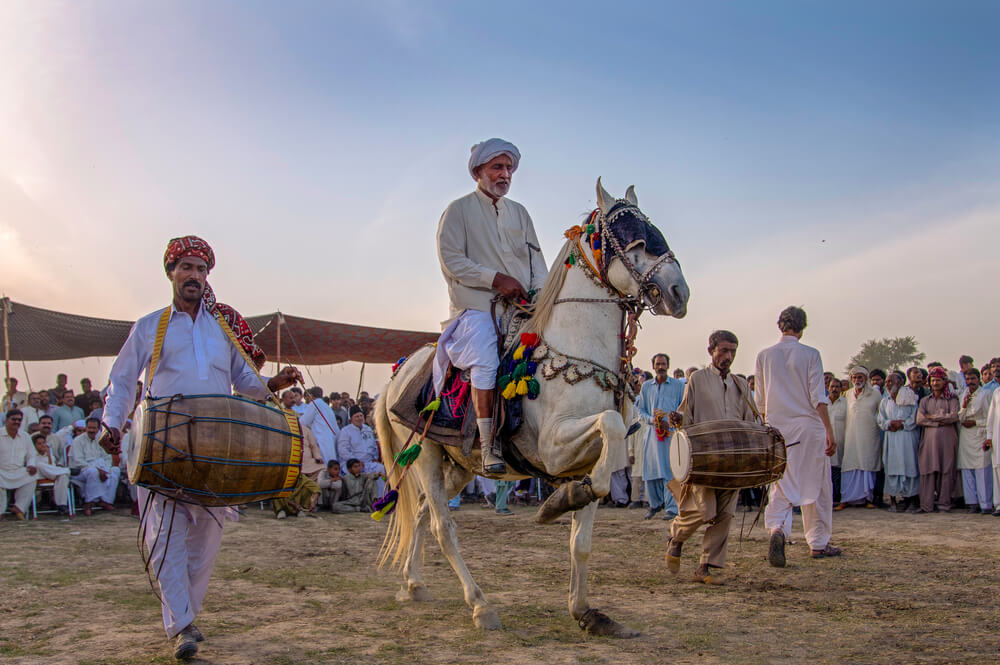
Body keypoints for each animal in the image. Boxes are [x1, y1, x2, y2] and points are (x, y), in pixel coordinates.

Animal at [376, 179, 688, 636]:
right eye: (637, 241)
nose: (679, 293)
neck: (577, 352)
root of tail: (398, 376)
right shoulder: (556, 450)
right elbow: (610, 428)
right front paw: (561, 501)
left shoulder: (585, 456)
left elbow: (582, 542)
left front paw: (585, 611)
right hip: (427, 457)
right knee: (441, 526)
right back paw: (480, 605)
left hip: (458, 466)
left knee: (418, 513)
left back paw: (413, 583)